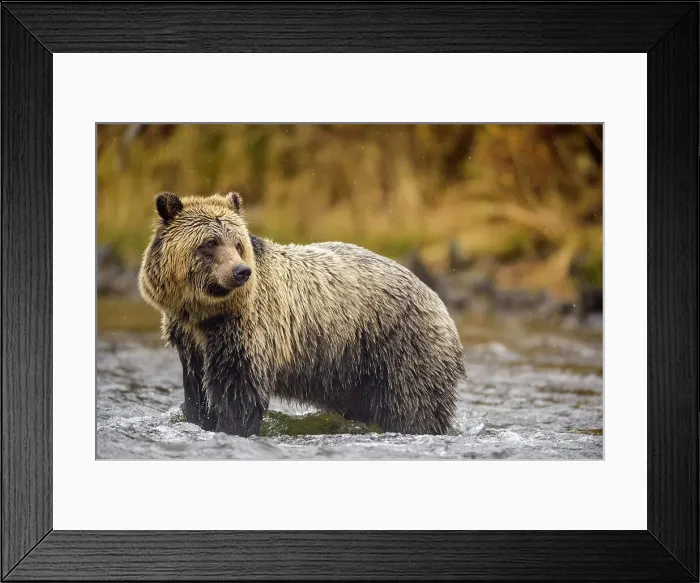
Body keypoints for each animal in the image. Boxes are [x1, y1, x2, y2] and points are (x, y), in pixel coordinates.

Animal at [138, 191, 466, 437]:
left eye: (238, 243)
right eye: (210, 242)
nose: (241, 272)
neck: (205, 314)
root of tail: (439, 302)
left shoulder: (246, 333)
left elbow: (239, 394)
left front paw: (232, 426)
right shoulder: (190, 341)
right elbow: (197, 393)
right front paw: (200, 418)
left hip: (401, 349)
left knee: (413, 407)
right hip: (356, 372)